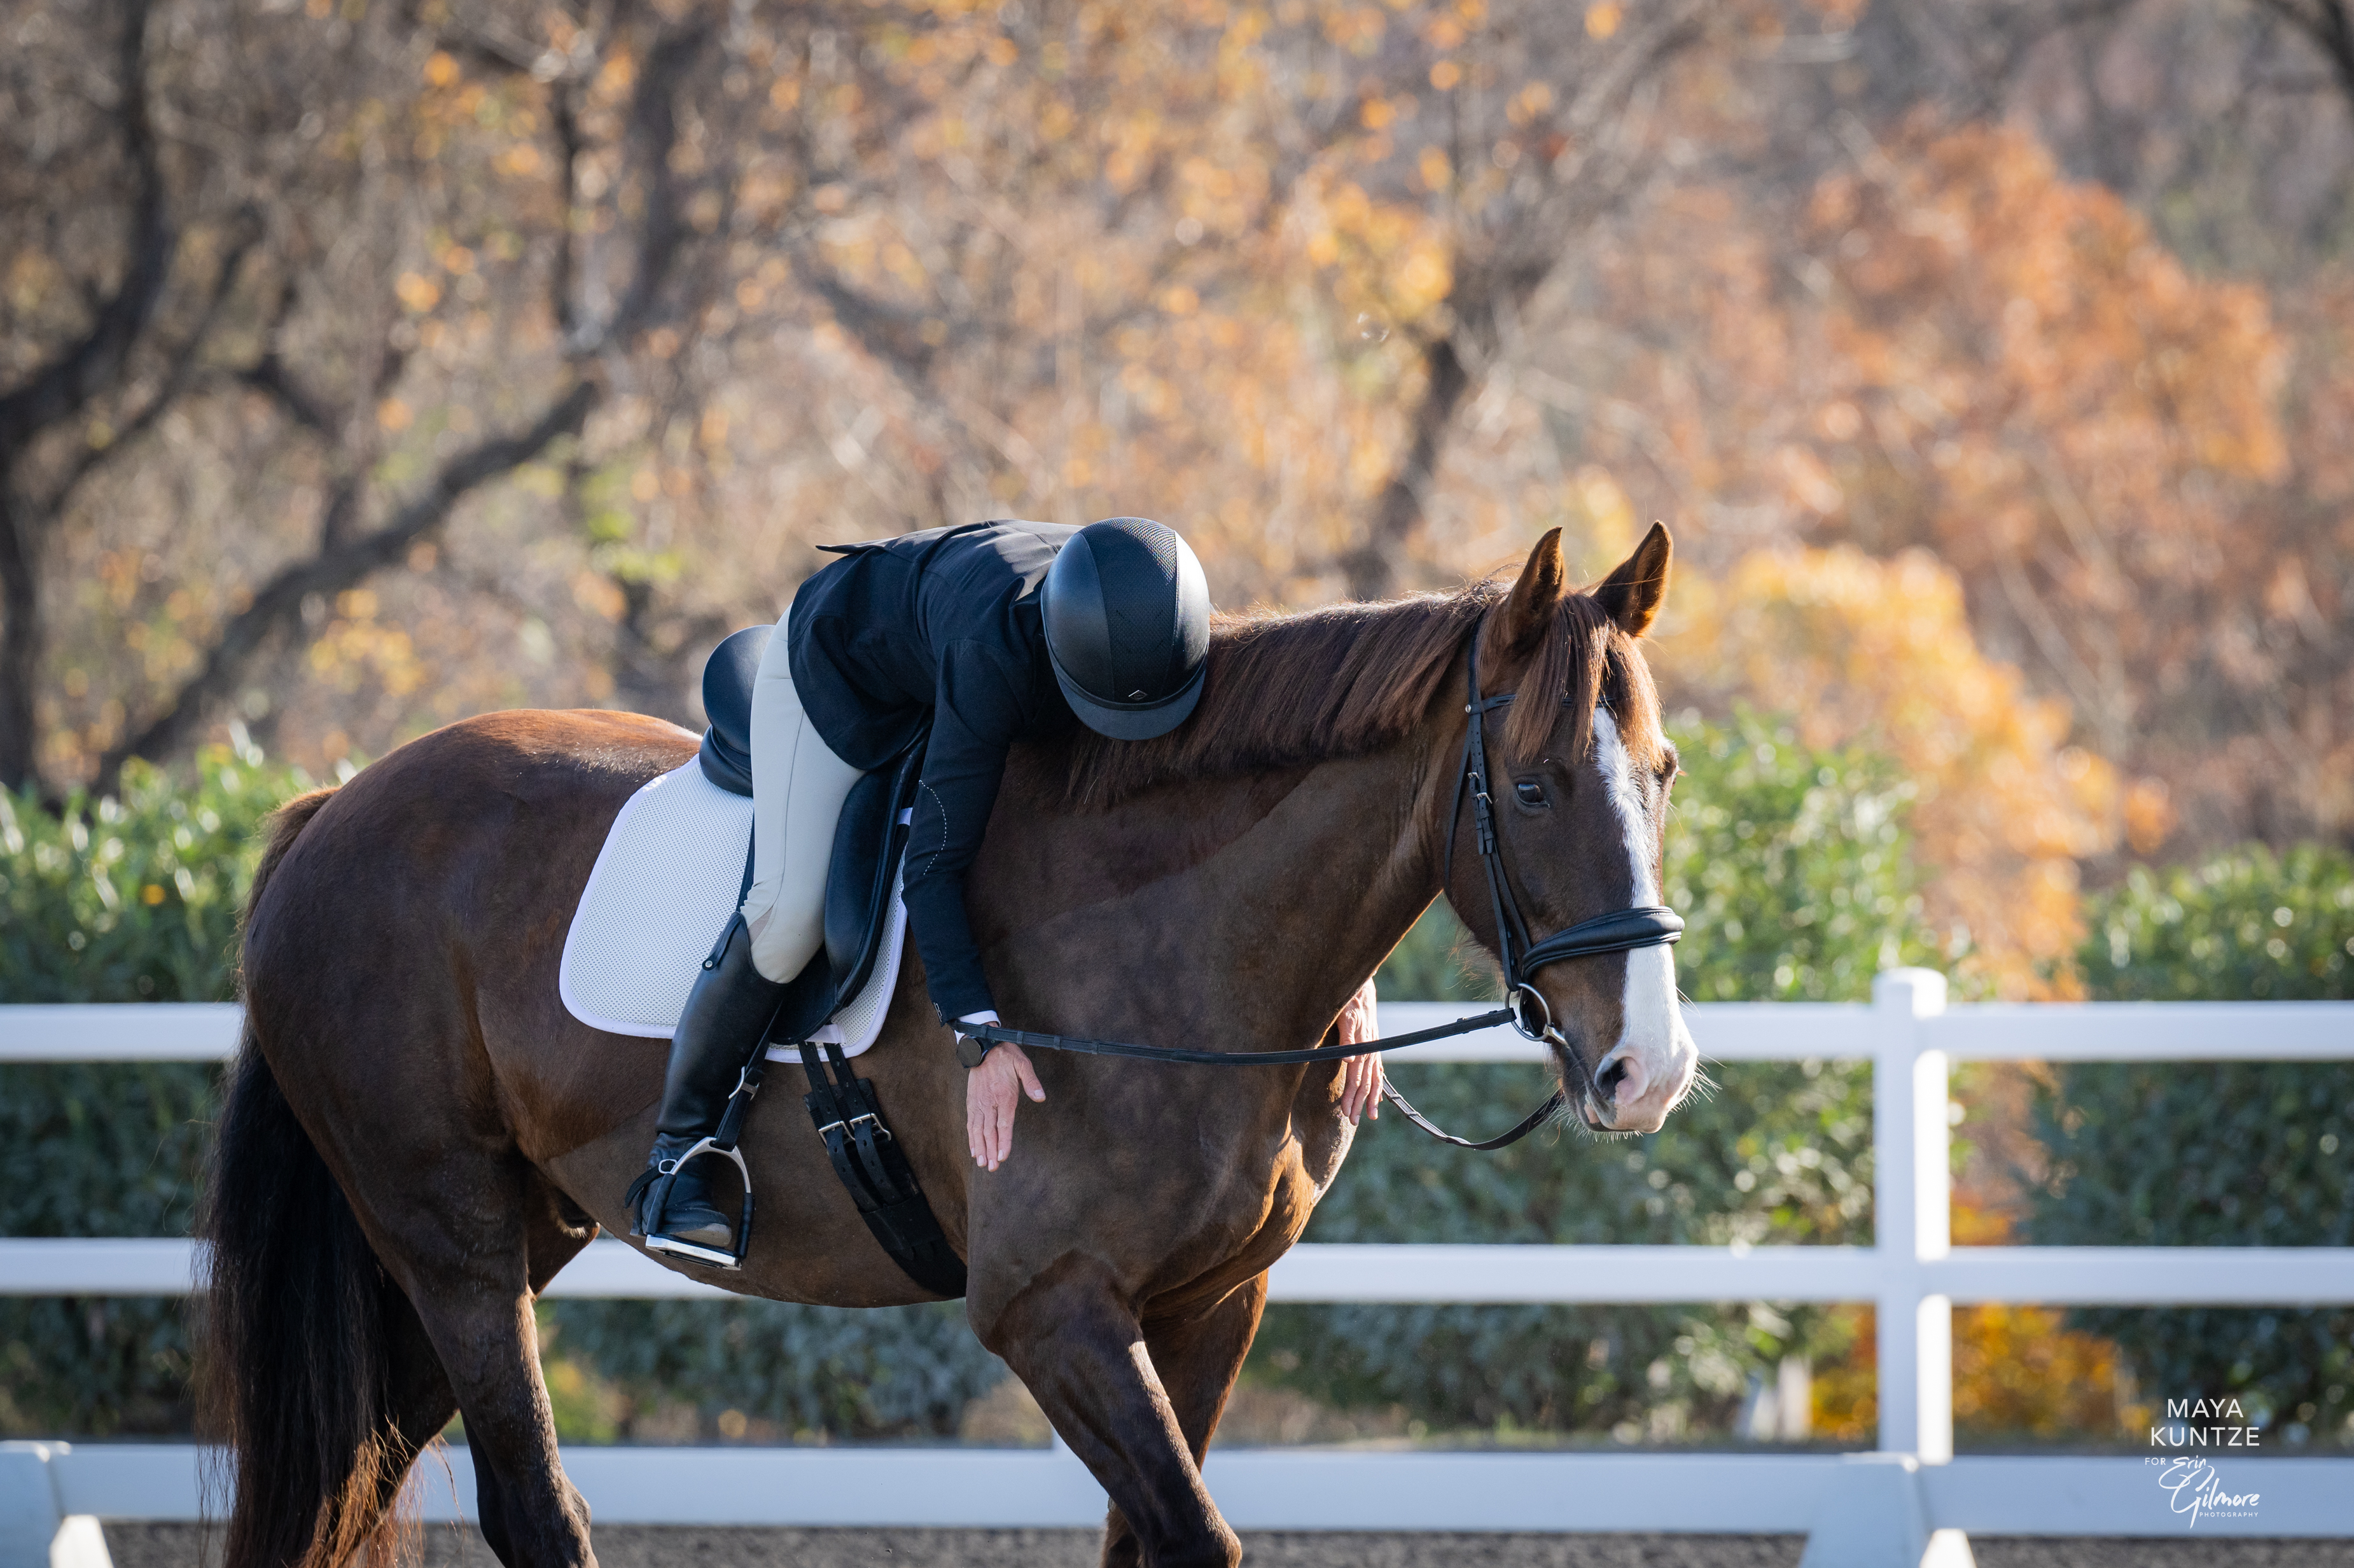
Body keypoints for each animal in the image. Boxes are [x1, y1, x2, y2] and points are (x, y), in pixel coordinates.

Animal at [203, 523, 1698, 1568]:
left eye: (1665, 770)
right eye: (1530, 787)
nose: (1649, 1070)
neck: (1188, 946)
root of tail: (340, 805)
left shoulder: (1212, 1299)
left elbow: (1152, 1536)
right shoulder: (1050, 1305)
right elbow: (1190, 1533)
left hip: (508, 1234)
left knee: (353, 1476)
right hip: (445, 1232)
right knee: (528, 1506)